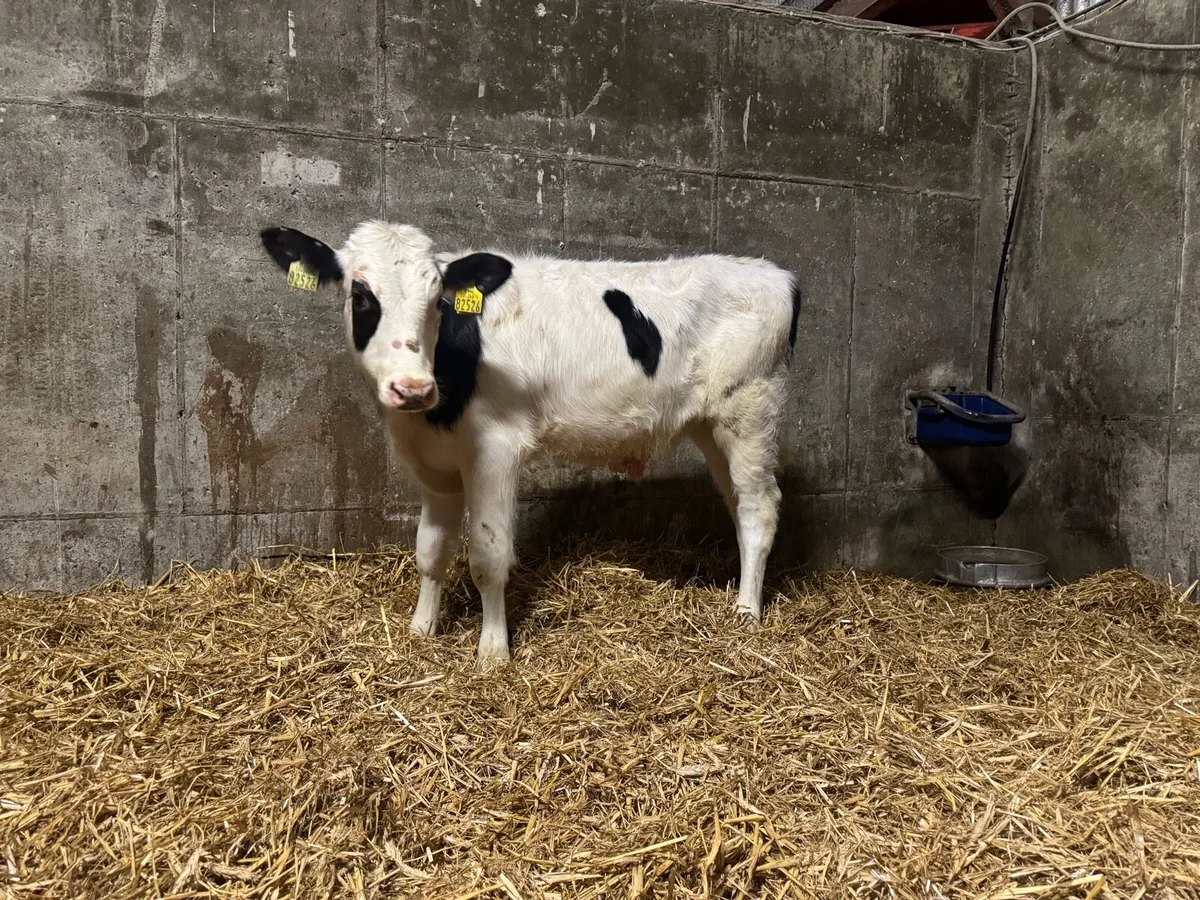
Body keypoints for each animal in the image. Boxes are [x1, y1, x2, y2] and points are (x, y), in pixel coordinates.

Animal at [261, 221, 800, 668]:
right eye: (361, 296)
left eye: (438, 300)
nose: (412, 387)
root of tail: (772, 273)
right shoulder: (434, 465)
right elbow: (431, 550)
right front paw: (421, 629)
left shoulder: (495, 450)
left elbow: (487, 555)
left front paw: (493, 651)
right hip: (711, 425)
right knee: (737, 501)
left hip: (750, 411)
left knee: (759, 505)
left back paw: (746, 611)